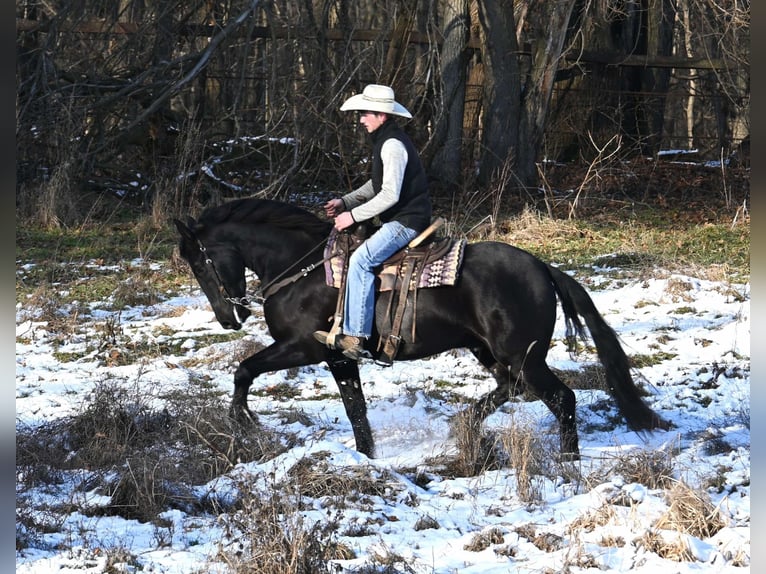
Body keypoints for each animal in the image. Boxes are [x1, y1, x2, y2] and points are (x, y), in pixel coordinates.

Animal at [172, 198, 664, 460]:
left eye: (199, 261)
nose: (228, 318)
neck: (304, 270)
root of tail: (543, 268)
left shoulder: (302, 348)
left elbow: (244, 369)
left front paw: (241, 419)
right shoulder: (338, 358)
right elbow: (355, 408)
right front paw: (366, 456)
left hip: (522, 354)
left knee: (560, 398)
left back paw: (568, 460)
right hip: (490, 351)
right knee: (511, 388)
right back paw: (463, 423)